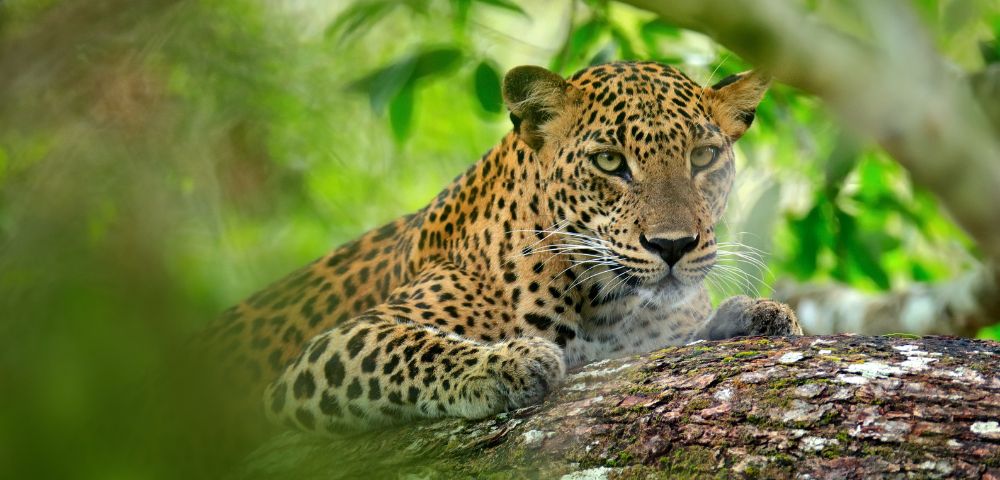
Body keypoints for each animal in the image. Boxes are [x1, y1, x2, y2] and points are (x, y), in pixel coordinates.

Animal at [202, 61, 802, 435]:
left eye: (703, 157)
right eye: (610, 162)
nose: (672, 246)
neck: (607, 304)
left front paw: (753, 315)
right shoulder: (327, 352)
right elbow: (405, 346)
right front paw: (506, 363)